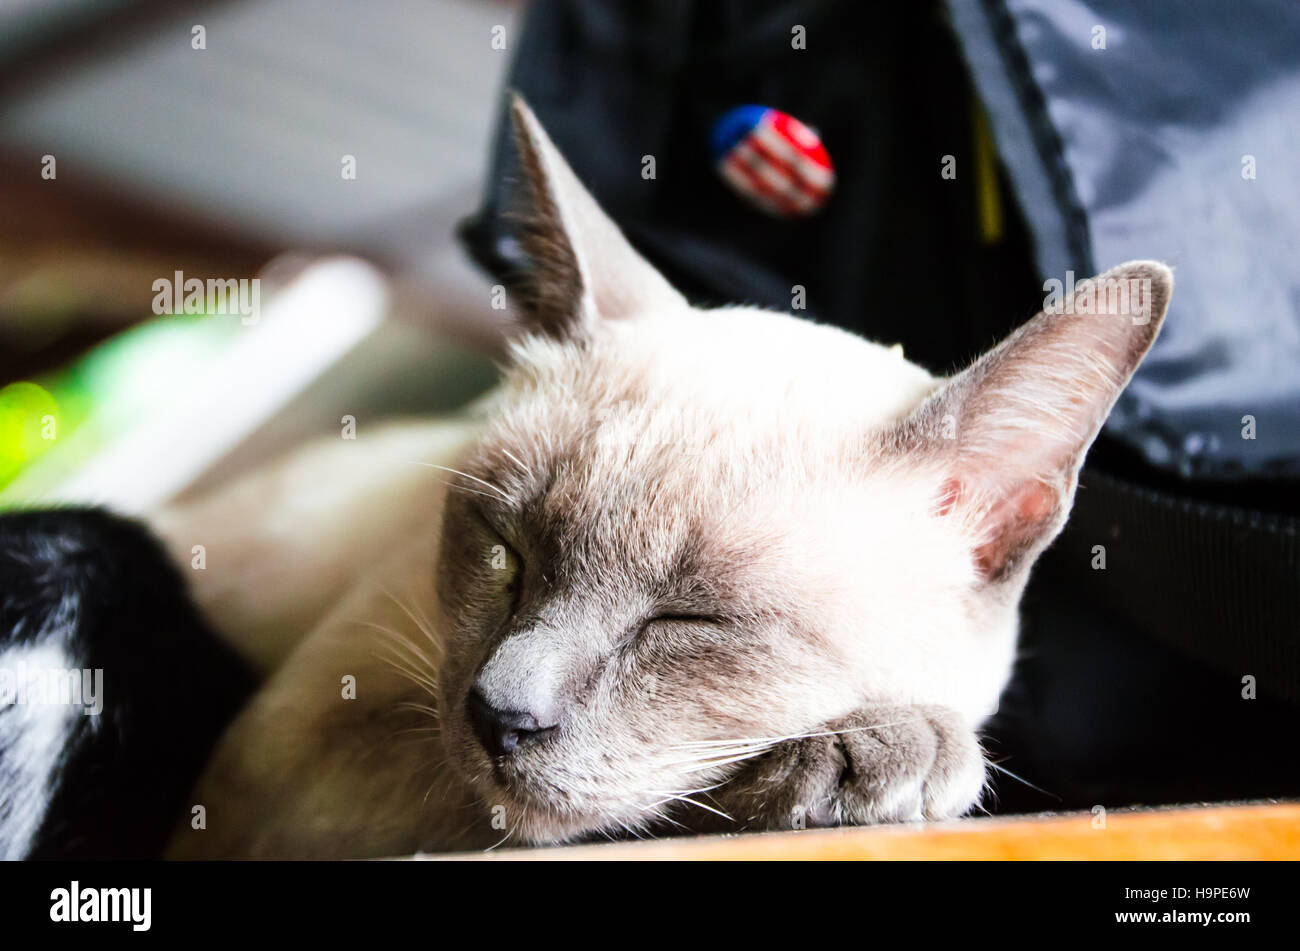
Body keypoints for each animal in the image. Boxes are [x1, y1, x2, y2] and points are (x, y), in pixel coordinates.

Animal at [157, 100, 1175, 857]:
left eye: (689, 623)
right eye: (505, 552)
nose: (499, 715)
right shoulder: (292, 758)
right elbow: (644, 811)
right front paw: (879, 758)